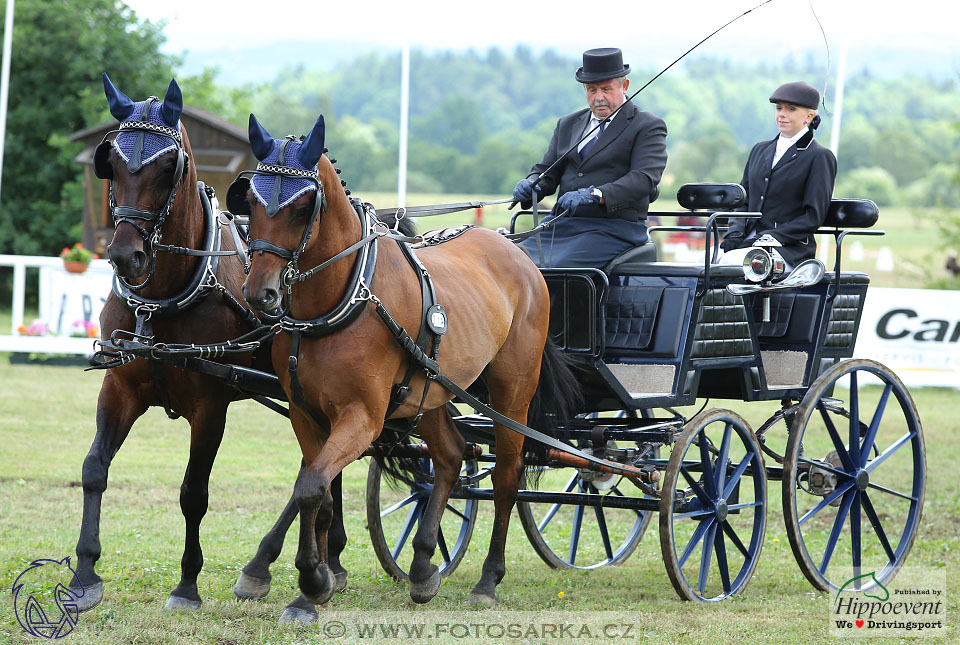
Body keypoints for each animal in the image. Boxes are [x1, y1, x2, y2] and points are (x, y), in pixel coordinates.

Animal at [73, 74, 354, 620]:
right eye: (110, 161)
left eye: (168, 167)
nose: (125, 256)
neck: (162, 297)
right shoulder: (119, 387)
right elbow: (94, 469)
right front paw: (84, 573)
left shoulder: (209, 407)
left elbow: (193, 494)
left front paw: (186, 585)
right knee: (328, 467)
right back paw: (326, 556)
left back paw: (272, 563)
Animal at [237, 112, 576, 604]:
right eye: (250, 200)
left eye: (303, 207)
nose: (260, 293)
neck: (340, 299)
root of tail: (518, 253)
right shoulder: (306, 413)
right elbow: (317, 489)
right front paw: (317, 576)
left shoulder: (364, 416)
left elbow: (312, 486)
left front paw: (313, 578)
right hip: (428, 390)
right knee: (450, 456)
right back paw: (421, 564)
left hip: (512, 392)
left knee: (506, 477)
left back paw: (488, 579)